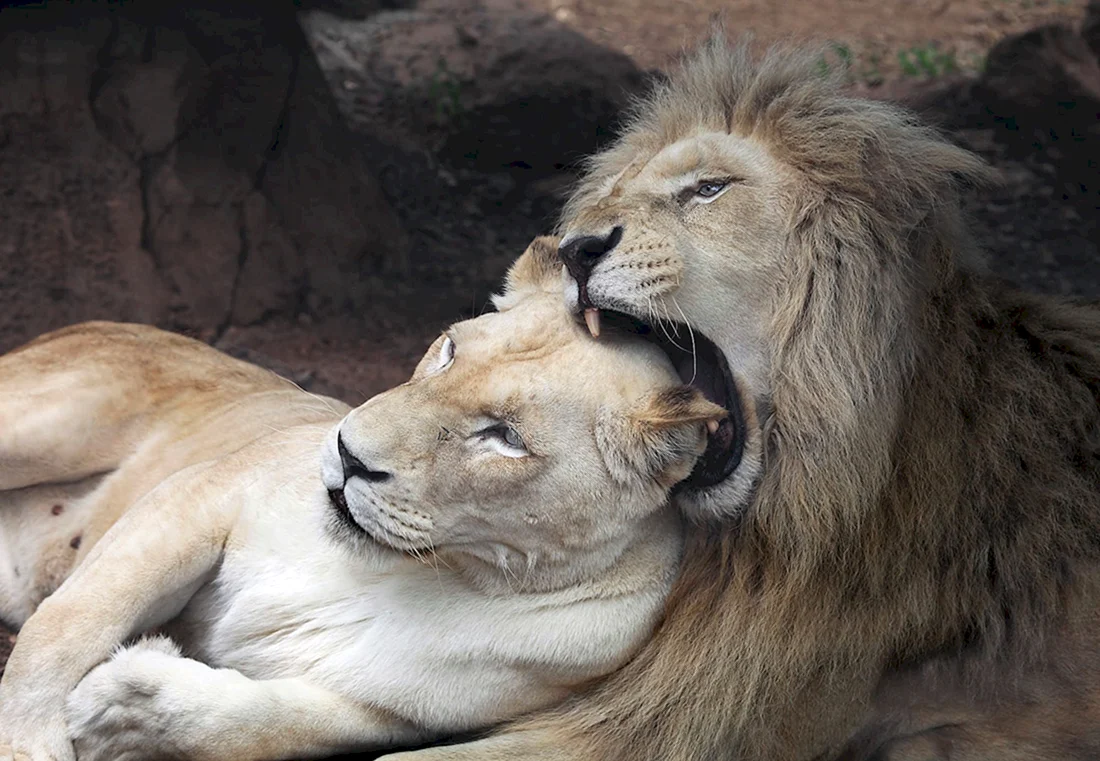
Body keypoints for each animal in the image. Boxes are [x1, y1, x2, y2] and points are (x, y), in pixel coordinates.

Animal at [0, 238, 727, 761]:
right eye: (449, 351)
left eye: (505, 436)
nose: (348, 452)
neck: (394, 569)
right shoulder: (201, 496)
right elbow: (70, 622)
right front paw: (30, 741)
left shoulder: (391, 715)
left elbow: (260, 724)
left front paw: (125, 702)